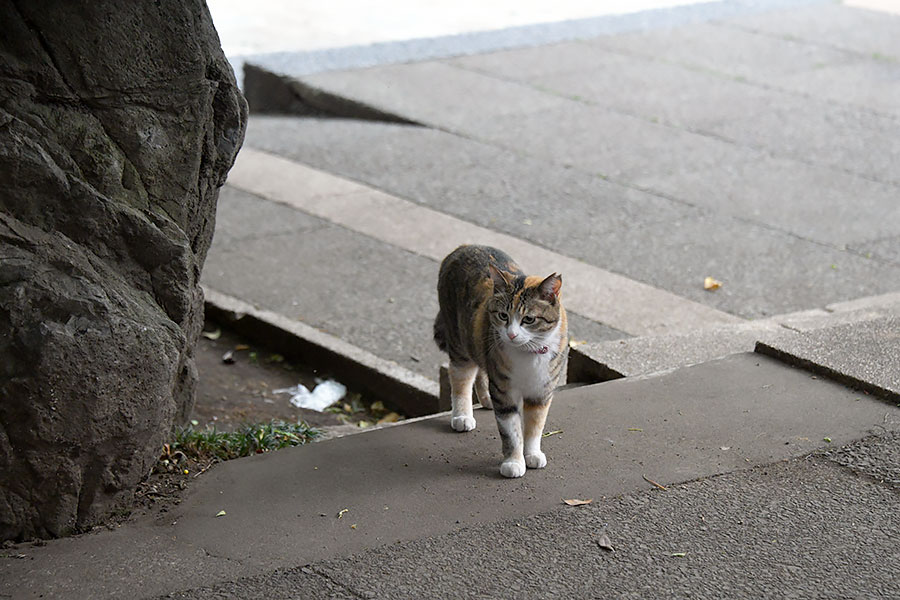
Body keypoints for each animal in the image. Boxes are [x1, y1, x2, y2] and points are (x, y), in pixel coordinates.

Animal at [432, 244, 568, 478]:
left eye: (528, 319)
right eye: (503, 316)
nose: (511, 335)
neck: (528, 353)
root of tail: (463, 247)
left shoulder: (542, 390)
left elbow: (535, 426)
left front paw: (532, 454)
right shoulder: (504, 390)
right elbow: (511, 431)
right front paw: (514, 462)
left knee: (481, 368)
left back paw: (486, 399)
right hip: (460, 341)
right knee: (461, 377)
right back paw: (462, 415)